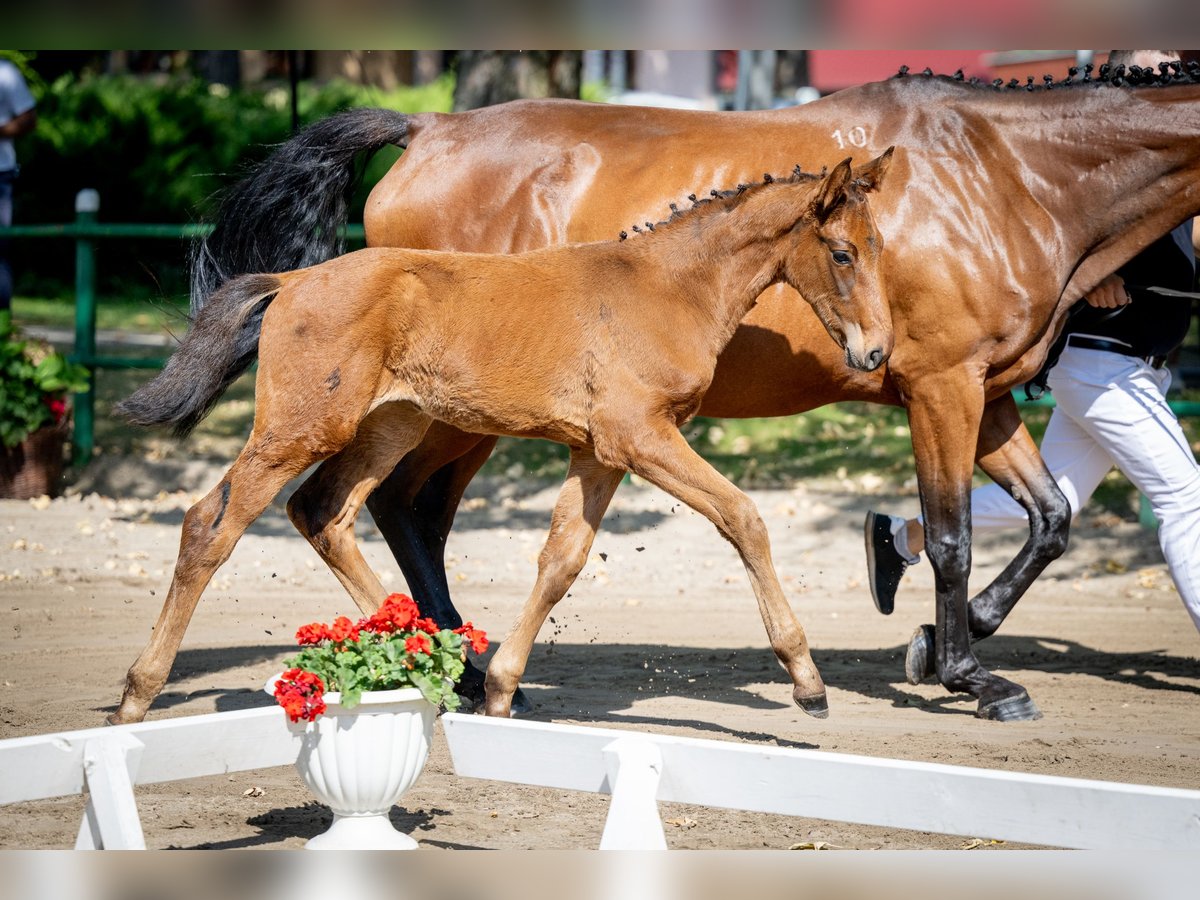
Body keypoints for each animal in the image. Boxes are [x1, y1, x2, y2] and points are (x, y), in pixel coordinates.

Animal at [112, 150, 897, 724]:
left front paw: (501, 689)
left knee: (322, 513)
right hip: (302, 428)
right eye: (841, 253)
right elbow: (743, 517)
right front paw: (807, 681)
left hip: (391, 424)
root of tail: (291, 280)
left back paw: (432, 664)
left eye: (878, 247)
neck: (669, 287)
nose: (876, 353)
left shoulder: (599, 450)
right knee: (211, 524)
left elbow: (561, 560)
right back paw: (136, 694)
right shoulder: (642, 437)